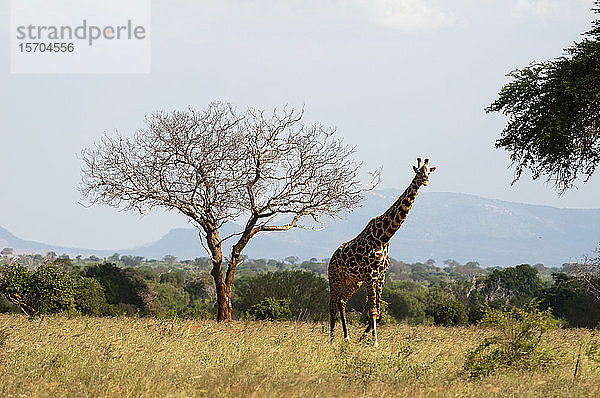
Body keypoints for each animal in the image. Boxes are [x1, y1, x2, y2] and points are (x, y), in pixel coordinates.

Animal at [328, 157, 436, 346]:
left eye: (428, 172)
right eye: (417, 172)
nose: (425, 181)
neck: (384, 236)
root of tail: (332, 257)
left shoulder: (381, 276)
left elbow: (377, 311)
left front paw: (363, 337)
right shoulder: (370, 275)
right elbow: (372, 310)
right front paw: (375, 342)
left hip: (353, 281)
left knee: (341, 301)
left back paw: (347, 337)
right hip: (335, 277)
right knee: (332, 304)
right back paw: (332, 338)